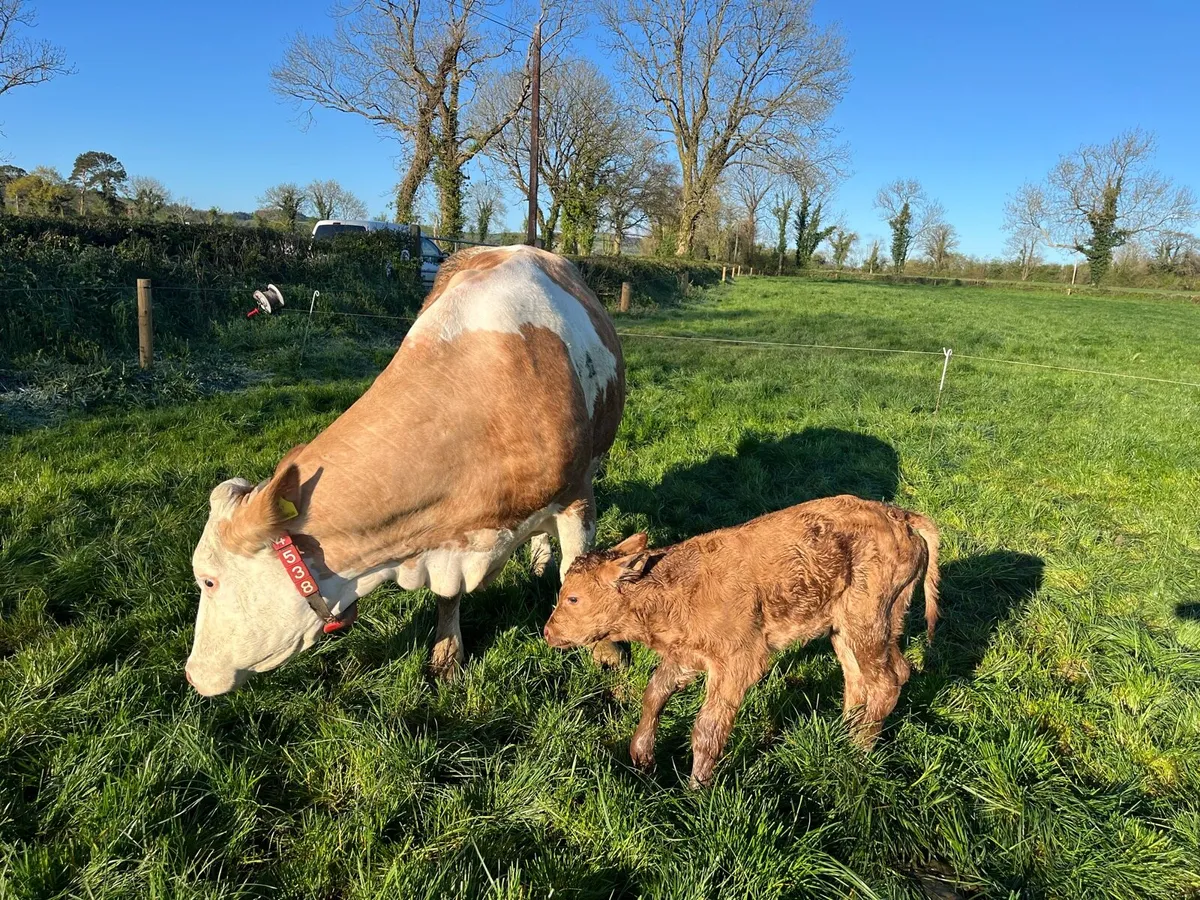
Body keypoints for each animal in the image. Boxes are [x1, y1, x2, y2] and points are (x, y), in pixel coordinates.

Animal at [185, 245, 625, 696]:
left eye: (208, 580)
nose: (191, 673)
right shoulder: (445, 535)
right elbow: (448, 598)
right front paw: (447, 657)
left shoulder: (577, 496)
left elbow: (579, 574)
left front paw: (605, 652)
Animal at [542, 495, 939, 787]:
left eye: (573, 597)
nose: (548, 632)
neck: (676, 589)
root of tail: (901, 516)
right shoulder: (686, 655)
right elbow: (654, 693)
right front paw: (642, 757)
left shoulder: (737, 661)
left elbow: (707, 727)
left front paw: (697, 790)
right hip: (854, 626)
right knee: (865, 677)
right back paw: (845, 734)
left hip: (866, 620)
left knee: (885, 681)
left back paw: (858, 753)